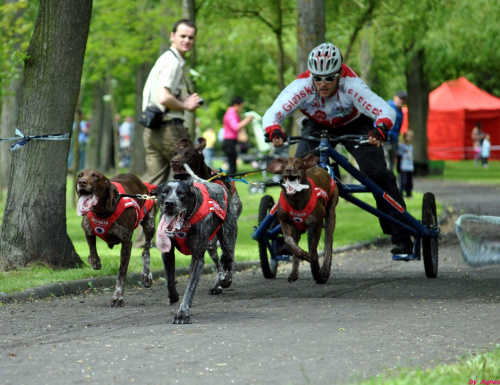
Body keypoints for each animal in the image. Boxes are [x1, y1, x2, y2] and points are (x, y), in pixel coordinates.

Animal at [74, 171, 154, 306]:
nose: (82, 182)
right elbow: (92, 249)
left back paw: (146, 275)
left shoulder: (127, 242)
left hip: (150, 224)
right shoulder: (87, 229)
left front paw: (118, 298)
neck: (101, 211)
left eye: (95, 176)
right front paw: (93, 261)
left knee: (146, 250)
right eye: (80, 175)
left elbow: (121, 274)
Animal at [153, 174, 237, 324]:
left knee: (229, 259)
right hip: (211, 246)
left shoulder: (197, 258)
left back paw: (225, 281)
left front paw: (182, 314)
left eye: (181, 193)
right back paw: (218, 285)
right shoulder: (167, 253)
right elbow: (169, 280)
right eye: (164, 192)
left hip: (226, 239)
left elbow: (189, 289)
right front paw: (173, 295)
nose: (169, 203)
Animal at [266, 154, 340, 284]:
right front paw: (303, 255)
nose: (289, 169)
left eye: (298, 162)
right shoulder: (284, 220)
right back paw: (294, 273)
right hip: (296, 229)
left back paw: (324, 269)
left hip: (331, 212)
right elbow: (289, 242)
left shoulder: (318, 222)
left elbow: (314, 246)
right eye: (284, 162)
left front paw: (312, 259)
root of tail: (320, 168)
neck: (296, 200)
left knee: (328, 240)